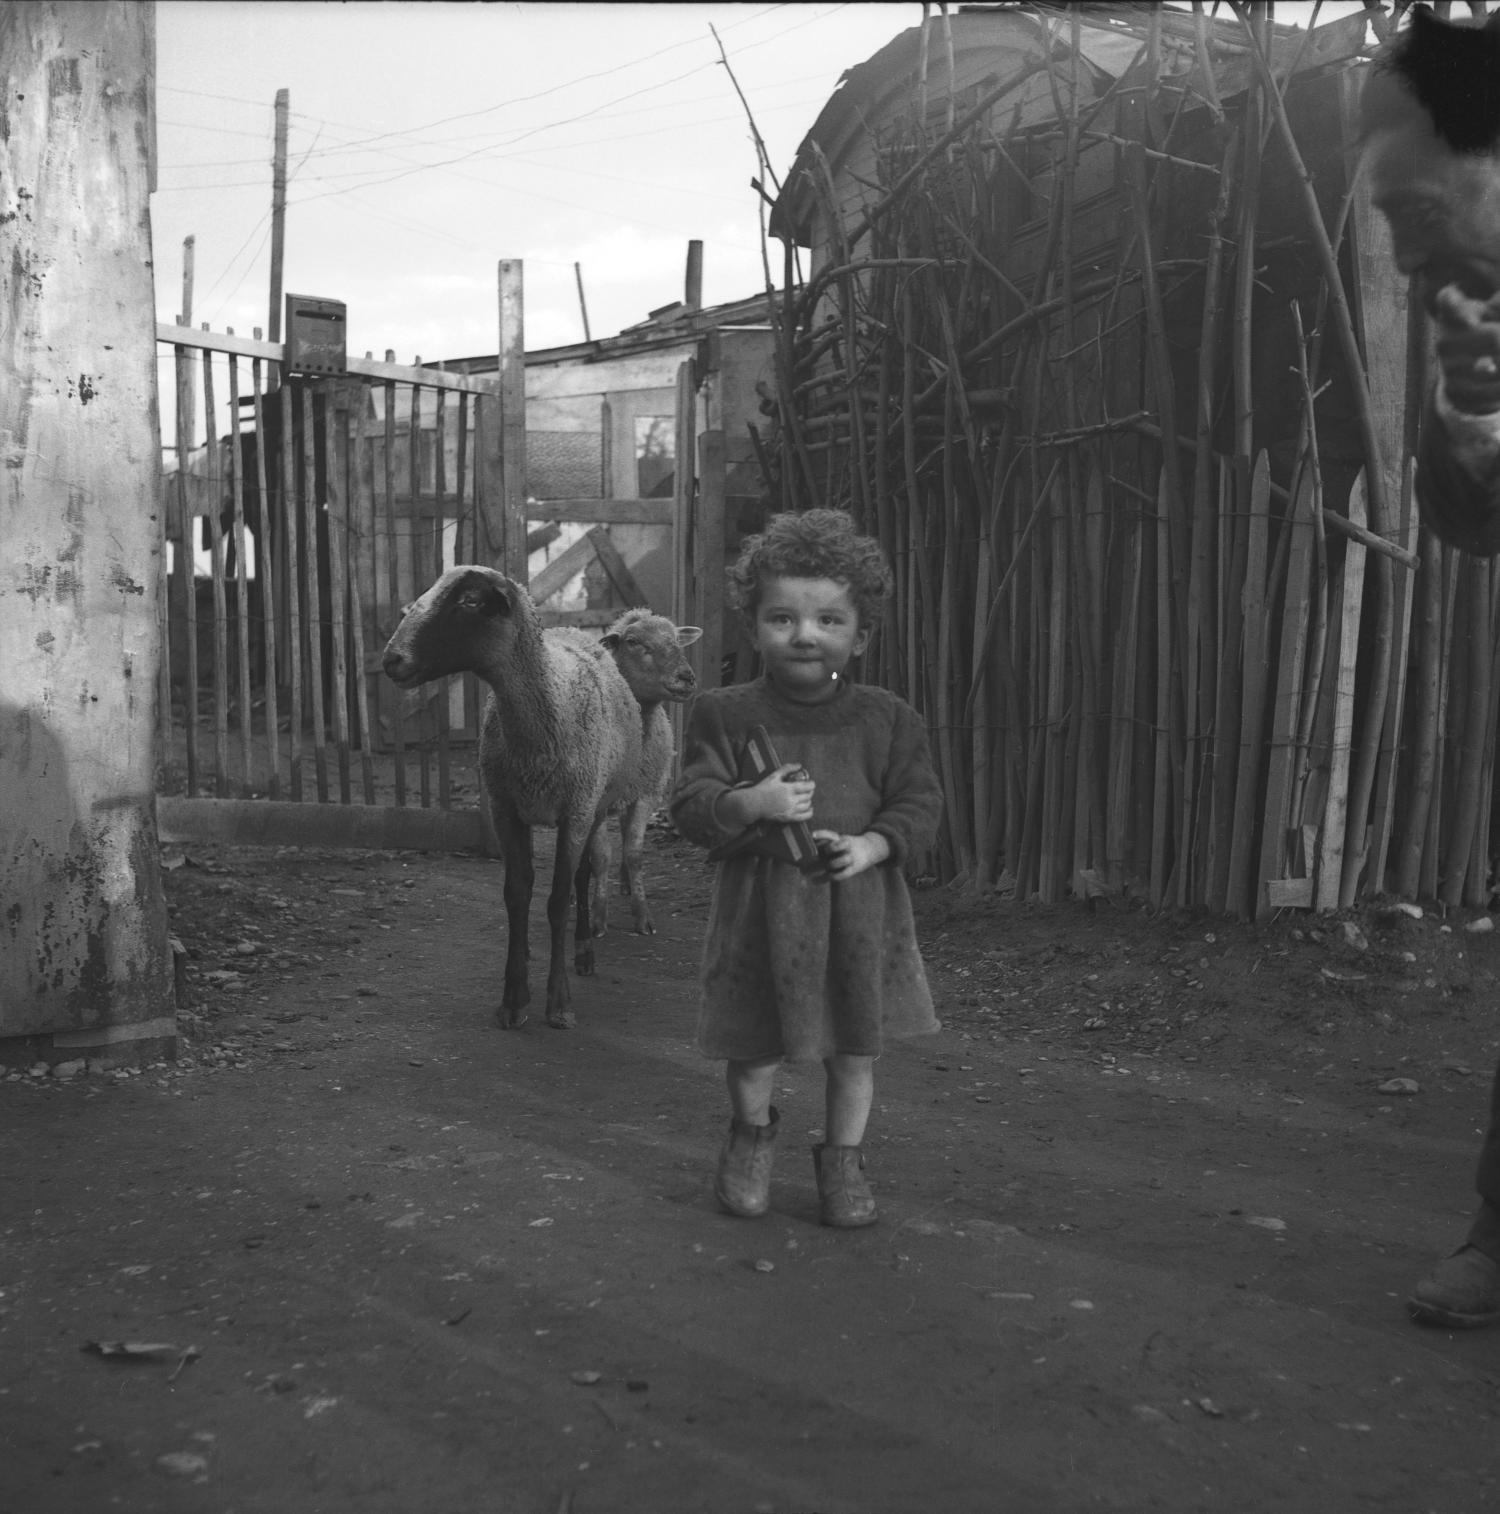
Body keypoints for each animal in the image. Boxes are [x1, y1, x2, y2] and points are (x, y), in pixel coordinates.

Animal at [590, 602, 702, 932]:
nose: (686, 677)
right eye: (633, 642)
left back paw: (626, 883)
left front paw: (642, 916)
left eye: (677, 640)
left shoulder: (646, 793)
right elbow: (601, 855)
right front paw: (597, 918)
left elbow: (635, 853)